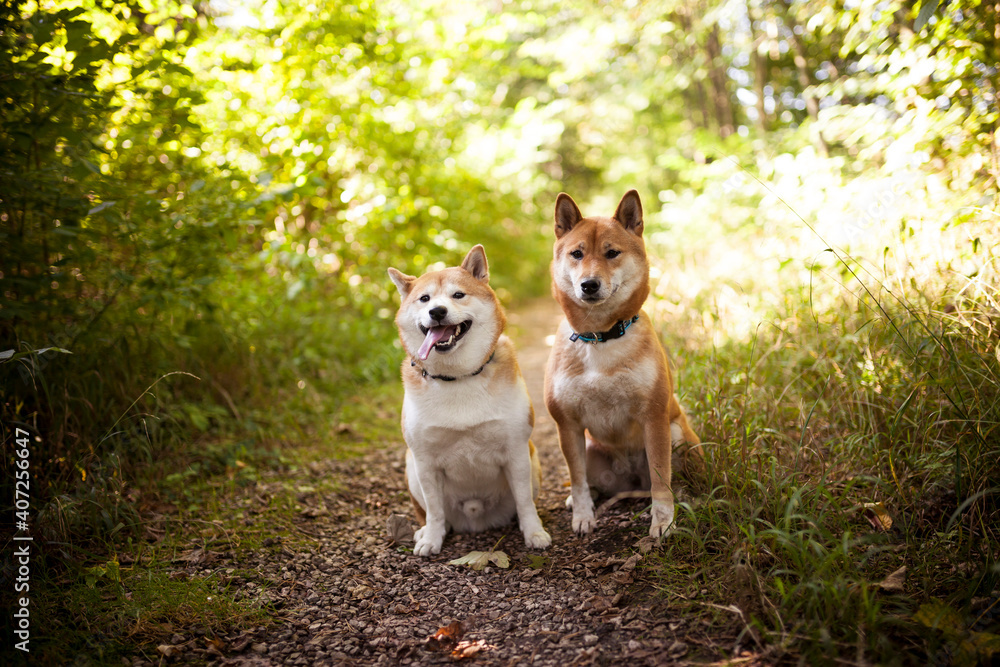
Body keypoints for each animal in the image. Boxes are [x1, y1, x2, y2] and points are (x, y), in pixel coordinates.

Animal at [388, 245, 556, 560]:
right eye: (425, 299)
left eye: (458, 295)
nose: (437, 311)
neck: (458, 377)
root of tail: (476, 519)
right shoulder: (424, 462)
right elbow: (434, 511)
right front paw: (432, 538)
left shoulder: (516, 451)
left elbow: (525, 503)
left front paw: (534, 533)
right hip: (410, 466)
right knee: (432, 514)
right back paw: (424, 531)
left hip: (533, 460)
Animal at [544, 190, 700, 540]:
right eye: (577, 254)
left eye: (612, 253)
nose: (589, 284)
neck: (600, 338)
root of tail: (629, 480)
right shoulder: (568, 426)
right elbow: (577, 481)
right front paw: (583, 516)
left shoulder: (654, 418)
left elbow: (661, 482)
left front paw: (663, 523)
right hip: (590, 449)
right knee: (589, 483)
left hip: (676, 435)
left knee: (671, 480)